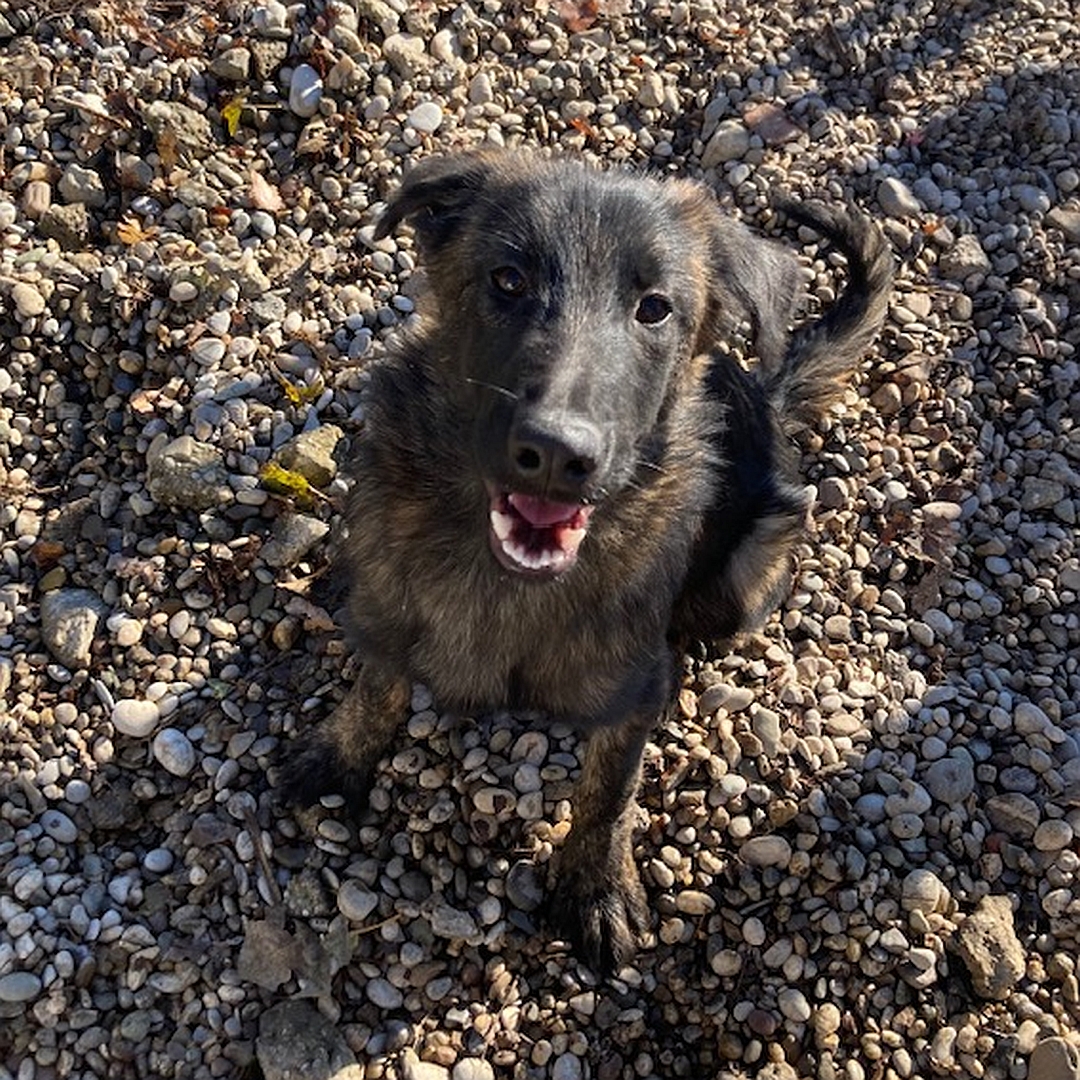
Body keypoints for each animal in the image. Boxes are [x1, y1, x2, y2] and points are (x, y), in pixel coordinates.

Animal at [280, 150, 894, 972]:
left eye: (655, 309)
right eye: (508, 280)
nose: (555, 454)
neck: (503, 580)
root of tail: (767, 394)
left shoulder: (632, 698)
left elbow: (607, 795)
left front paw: (596, 885)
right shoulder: (387, 613)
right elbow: (377, 687)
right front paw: (342, 753)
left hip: (754, 559)